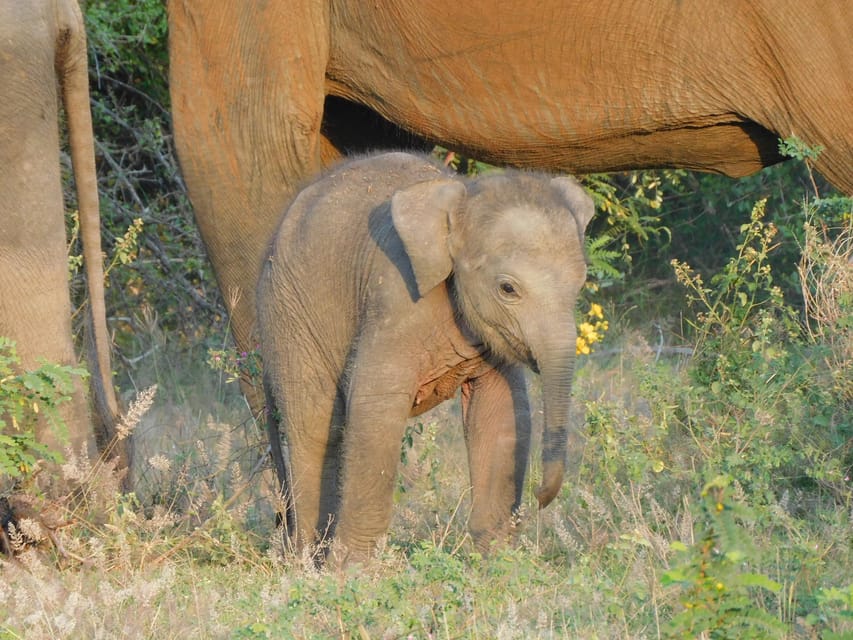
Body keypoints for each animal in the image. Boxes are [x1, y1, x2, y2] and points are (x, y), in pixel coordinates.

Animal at [258, 152, 592, 564]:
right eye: (508, 288)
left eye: (581, 283)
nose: (540, 497)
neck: (460, 199)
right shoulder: (396, 298)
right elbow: (375, 405)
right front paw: (352, 572)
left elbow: (500, 412)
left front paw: (499, 564)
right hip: (289, 313)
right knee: (314, 424)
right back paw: (305, 562)